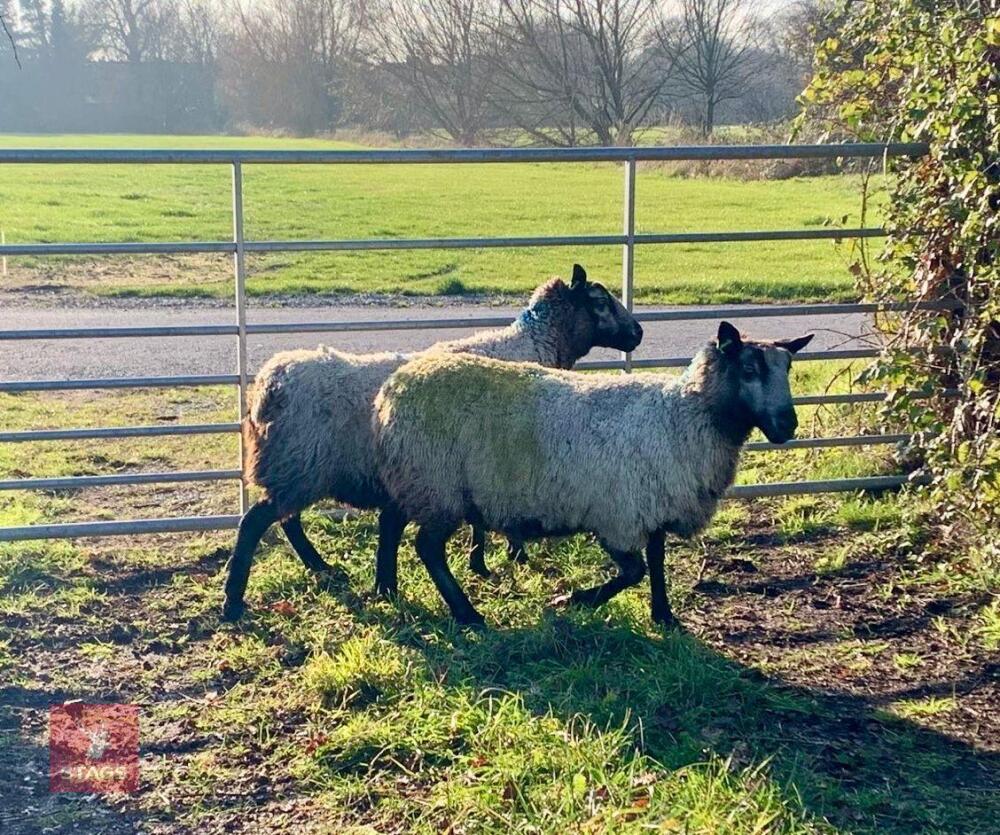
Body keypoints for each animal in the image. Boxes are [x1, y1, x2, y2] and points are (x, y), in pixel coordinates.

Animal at [221, 264, 644, 621]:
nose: (638, 333)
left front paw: (475, 564)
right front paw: (505, 556)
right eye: (600, 301)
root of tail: (269, 385)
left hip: (297, 468)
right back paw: (234, 601)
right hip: (301, 464)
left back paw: (322, 568)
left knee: (288, 520)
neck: (532, 345)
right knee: (257, 521)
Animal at [372, 321, 814, 628]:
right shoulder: (619, 514)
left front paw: (664, 616)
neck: (684, 415)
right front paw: (575, 600)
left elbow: (656, 560)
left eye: (789, 368)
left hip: (414, 479)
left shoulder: (652, 502)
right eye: (748, 369)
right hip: (437, 484)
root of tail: (394, 387)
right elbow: (634, 571)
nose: (788, 426)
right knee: (428, 548)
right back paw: (466, 613)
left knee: (391, 525)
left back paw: (386, 588)